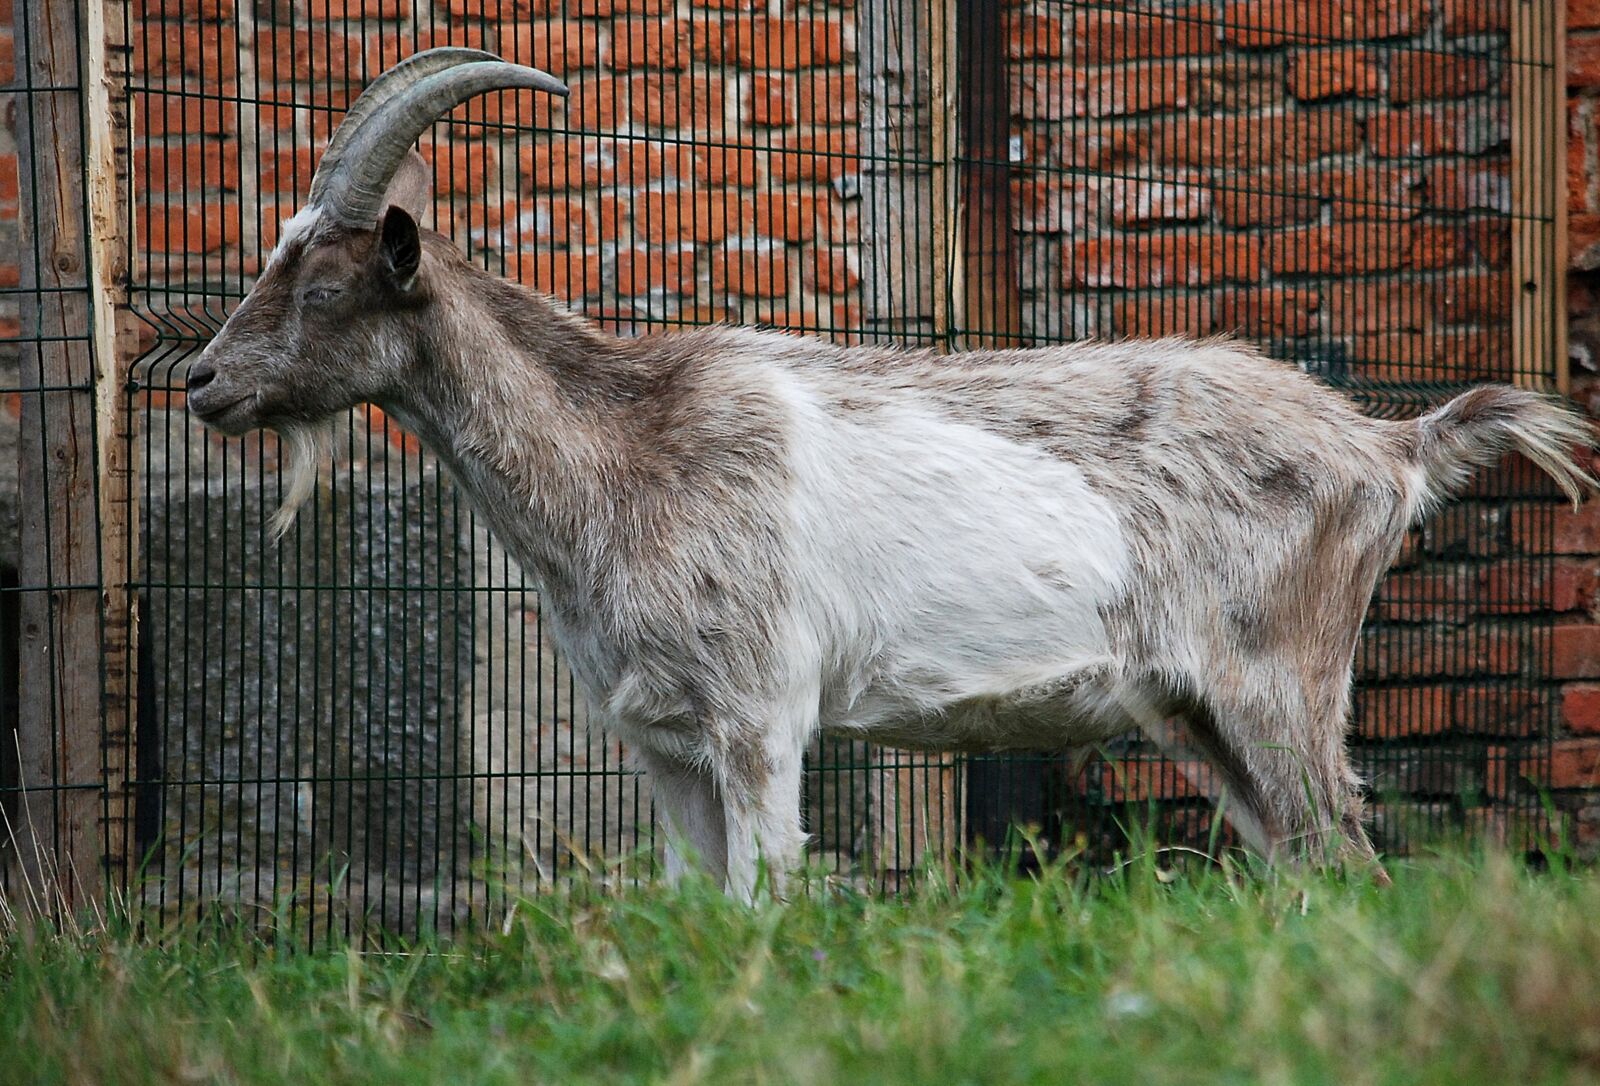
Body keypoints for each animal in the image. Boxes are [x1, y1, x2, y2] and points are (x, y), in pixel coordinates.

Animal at [187, 49, 1598, 897]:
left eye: (325, 283)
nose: (200, 383)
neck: (625, 451)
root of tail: (1387, 448)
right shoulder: (662, 746)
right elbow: (696, 921)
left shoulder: (758, 719)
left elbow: (764, 908)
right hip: (1198, 716)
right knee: (1309, 874)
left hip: (1280, 684)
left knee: (1348, 861)